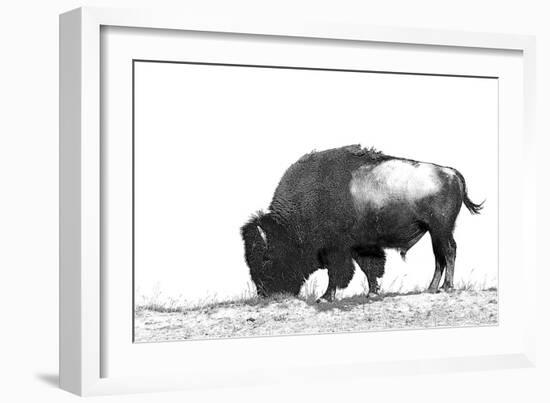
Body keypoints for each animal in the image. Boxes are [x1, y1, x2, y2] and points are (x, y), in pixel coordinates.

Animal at [242, 145, 484, 304]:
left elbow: (337, 273)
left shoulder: (337, 250)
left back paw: (446, 287)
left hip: (441, 229)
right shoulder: (361, 246)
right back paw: (431, 288)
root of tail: (451, 172)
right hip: (435, 232)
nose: (263, 293)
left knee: (449, 252)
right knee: (439, 257)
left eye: (266, 257)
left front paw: (325, 297)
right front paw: (373, 293)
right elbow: (370, 268)